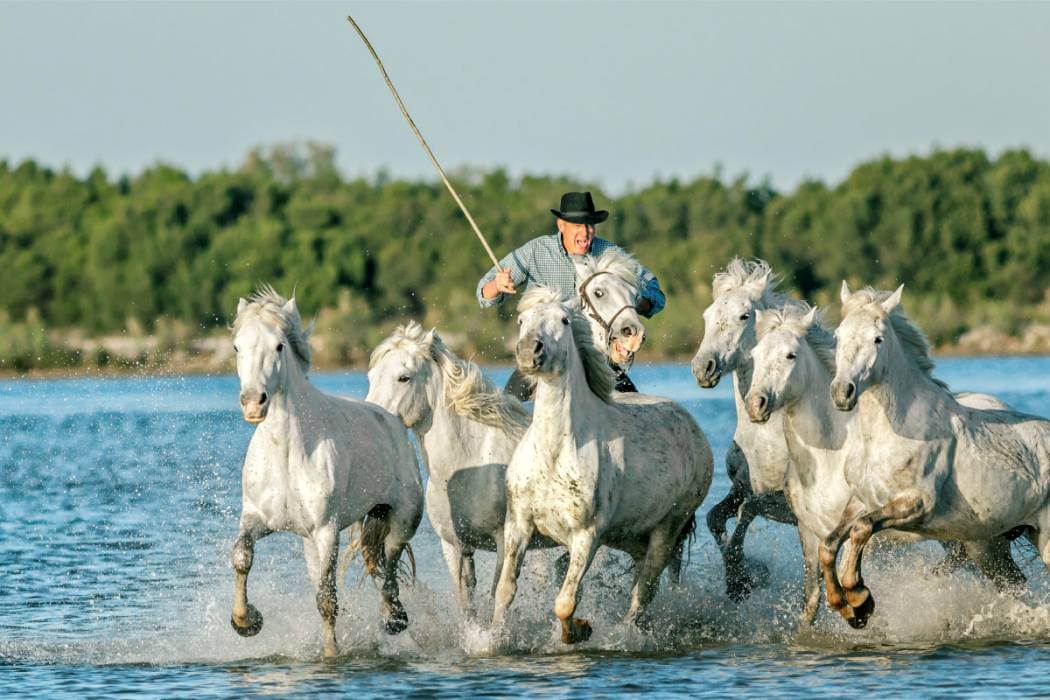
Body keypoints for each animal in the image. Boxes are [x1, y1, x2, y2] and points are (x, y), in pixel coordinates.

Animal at [229, 285, 422, 659]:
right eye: (237, 347)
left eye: (279, 346)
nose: (253, 403)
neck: (287, 454)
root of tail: (391, 419)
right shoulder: (257, 519)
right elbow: (242, 556)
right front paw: (246, 622)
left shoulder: (326, 531)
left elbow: (327, 598)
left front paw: (331, 654)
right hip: (311, 542)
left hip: (404, 516)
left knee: (390, 561)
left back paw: (394, 618)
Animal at [365, 321, 546, 617]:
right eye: (371, 377)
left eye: (404, 378)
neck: (471, 465)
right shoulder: (454, 545)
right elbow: (465, 600)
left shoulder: (502, 541)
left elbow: (495, 595)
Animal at [491, 287, 713, 642]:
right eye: (521, 320)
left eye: (564, 320)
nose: (529, 351)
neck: (554, 453)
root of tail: (694, 430)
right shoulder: (519, 524)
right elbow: (505, 590)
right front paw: (489, 639)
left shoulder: (586, 536)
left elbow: (565, 601)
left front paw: (578, 631)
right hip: (631, 535)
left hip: (668, 529)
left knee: (644, 591)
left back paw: (625, 633)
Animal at [688, 260, 793, 600]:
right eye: (707, 315)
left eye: (745, 315)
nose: (702, 368)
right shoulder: (740, 487)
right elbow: (714, 517)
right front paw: (744, 577)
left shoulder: (783, 501)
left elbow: (748, 510)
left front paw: (742, 577)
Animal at [823, 285, 1045, 629]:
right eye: (838, 335)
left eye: (878, 339)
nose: (842, 392)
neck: (890, 434)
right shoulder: (862, 501)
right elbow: (830, 543)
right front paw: (848, 608)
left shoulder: (917, 504)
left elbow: (860, 530)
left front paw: (860, 598)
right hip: (989, 546)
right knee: (1014, 583)